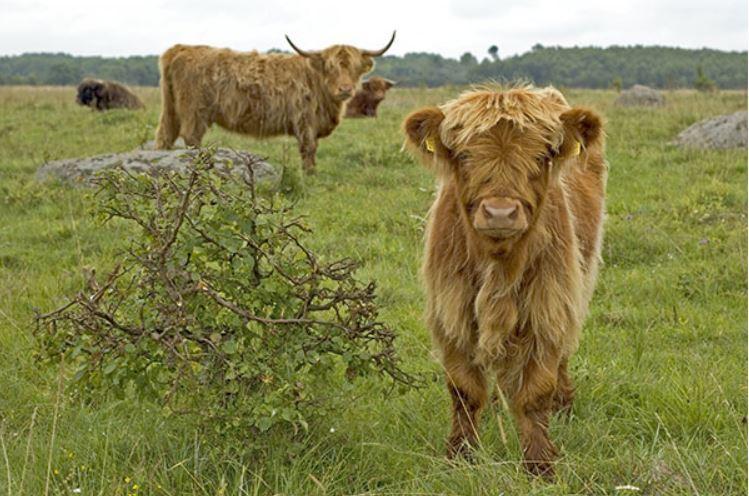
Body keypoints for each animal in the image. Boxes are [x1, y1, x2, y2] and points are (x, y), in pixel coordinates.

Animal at [154, 32, 394, 172]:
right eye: (331, 67)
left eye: (354, 68)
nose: (345, 89)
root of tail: (180, 48)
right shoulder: (304, 121)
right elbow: (309, 149)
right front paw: (310, 175)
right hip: (195, 111)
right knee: (191, 137)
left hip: (171, 109)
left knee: (165, 136)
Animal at [404, 86, 608, 480]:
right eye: (464, 154)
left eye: (543, 155)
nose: (500, 213)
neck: (498, 266)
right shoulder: (451, 311)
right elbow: (464, 390)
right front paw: (460, 455)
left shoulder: (548, 306)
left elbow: (535, 393)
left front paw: (540, 465)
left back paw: (563, 404)